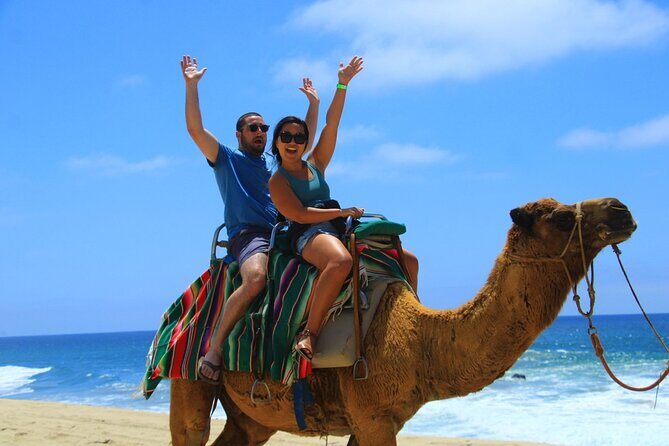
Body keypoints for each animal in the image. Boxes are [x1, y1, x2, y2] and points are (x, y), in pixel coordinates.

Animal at [168, 197, 637, 446]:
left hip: (251, 417)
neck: (419, 342)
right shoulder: (373, 414)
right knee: (190, 430)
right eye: (561, 217)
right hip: (186, 370)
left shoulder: (372, 418)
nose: (621, 210)